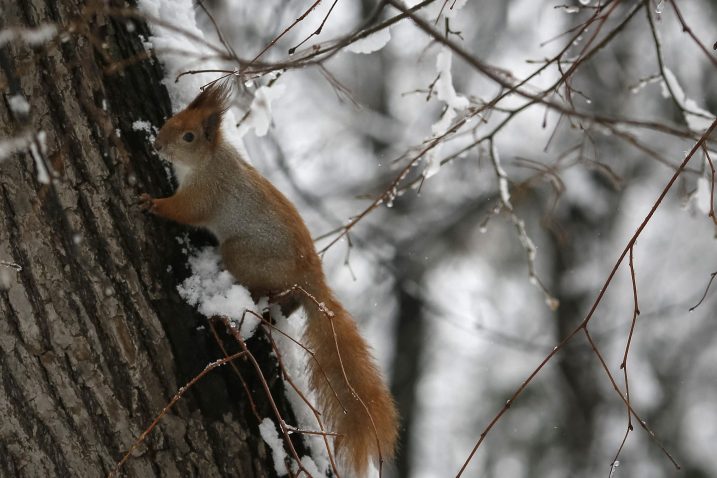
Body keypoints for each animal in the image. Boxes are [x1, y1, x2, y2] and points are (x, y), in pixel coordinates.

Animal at [140, 82, 398, 474]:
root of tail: (310, 276)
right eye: (173, 118)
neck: (208, 160)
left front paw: (151, 202)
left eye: (189, 136)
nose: (157, 145)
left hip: (242, 255)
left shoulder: (207, 192)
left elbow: (185, 210)